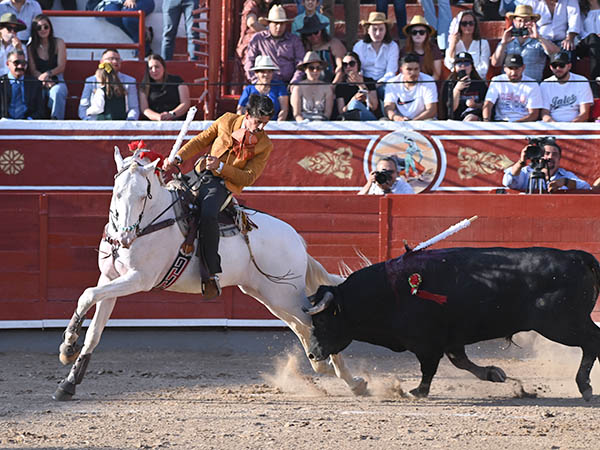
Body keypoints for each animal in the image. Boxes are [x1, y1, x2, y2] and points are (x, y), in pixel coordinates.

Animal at [54, 149, 368, 400]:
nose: (124, 239)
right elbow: (94, 329)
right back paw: (328, 368)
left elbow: (86, 295)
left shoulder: (138, 280)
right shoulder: (109, 279)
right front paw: (68, 380)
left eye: (145, 195)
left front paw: (68, 345)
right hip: (273, 297)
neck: (154, 221)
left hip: (285, 296)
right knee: (304, 327)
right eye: (117, 193)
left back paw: (353, 381)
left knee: (314, 323)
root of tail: (297, 240)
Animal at [304, 248, 600, 400]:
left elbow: (429, 369)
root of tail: (575, 256)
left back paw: (585, 386)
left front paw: (417, 392)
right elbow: (460, 361)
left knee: (592, 341)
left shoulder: (427, 343)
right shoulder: (451, 340)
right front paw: (494, 373)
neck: (389, 292)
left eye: (323, 320)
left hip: (563, 325)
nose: (313, 355)